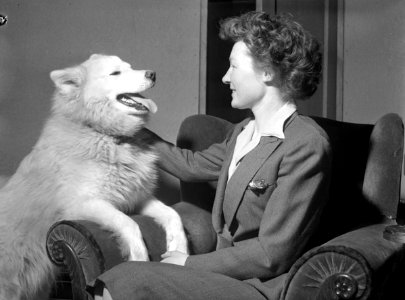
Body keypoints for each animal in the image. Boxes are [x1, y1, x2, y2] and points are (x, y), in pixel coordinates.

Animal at [0, 54, 189, 300]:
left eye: (131, 67)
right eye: (115, 73)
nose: (153, 74)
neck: (106, 137)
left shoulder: (136, 198)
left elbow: (173, 215)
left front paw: (180, 249)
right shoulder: (86, 204)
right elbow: (129, 224)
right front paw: (139, 260)